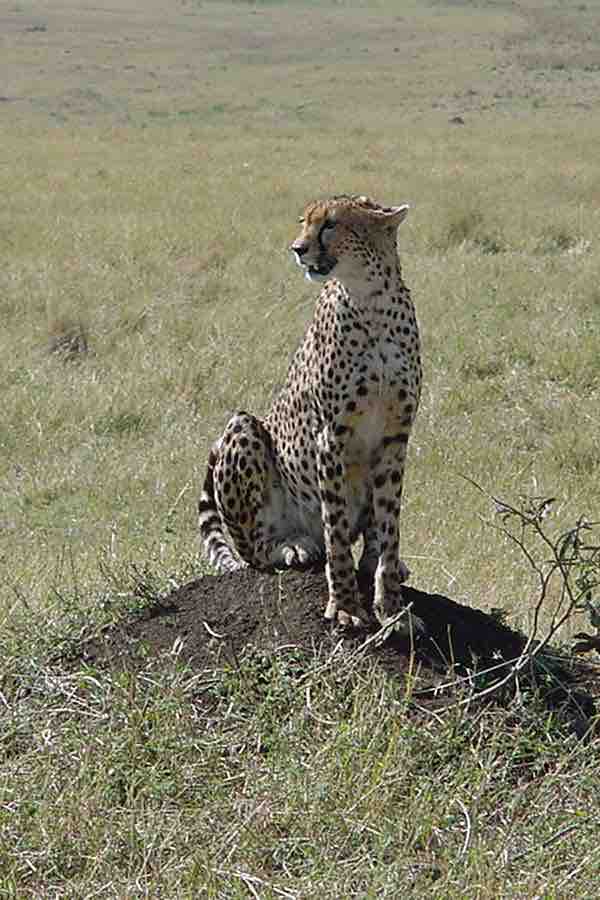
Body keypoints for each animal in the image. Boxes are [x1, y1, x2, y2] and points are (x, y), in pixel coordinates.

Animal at [198, 193, 423, 630]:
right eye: (304, 221)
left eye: (331, 224)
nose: (297, 249)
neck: (371, 299)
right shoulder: (331, 437)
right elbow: (335, 532)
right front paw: (347, 606)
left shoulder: (395, 436)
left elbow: (390, 525)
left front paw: (391, 608)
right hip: (244, 426)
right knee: (255, 551)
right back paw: (291, 546)